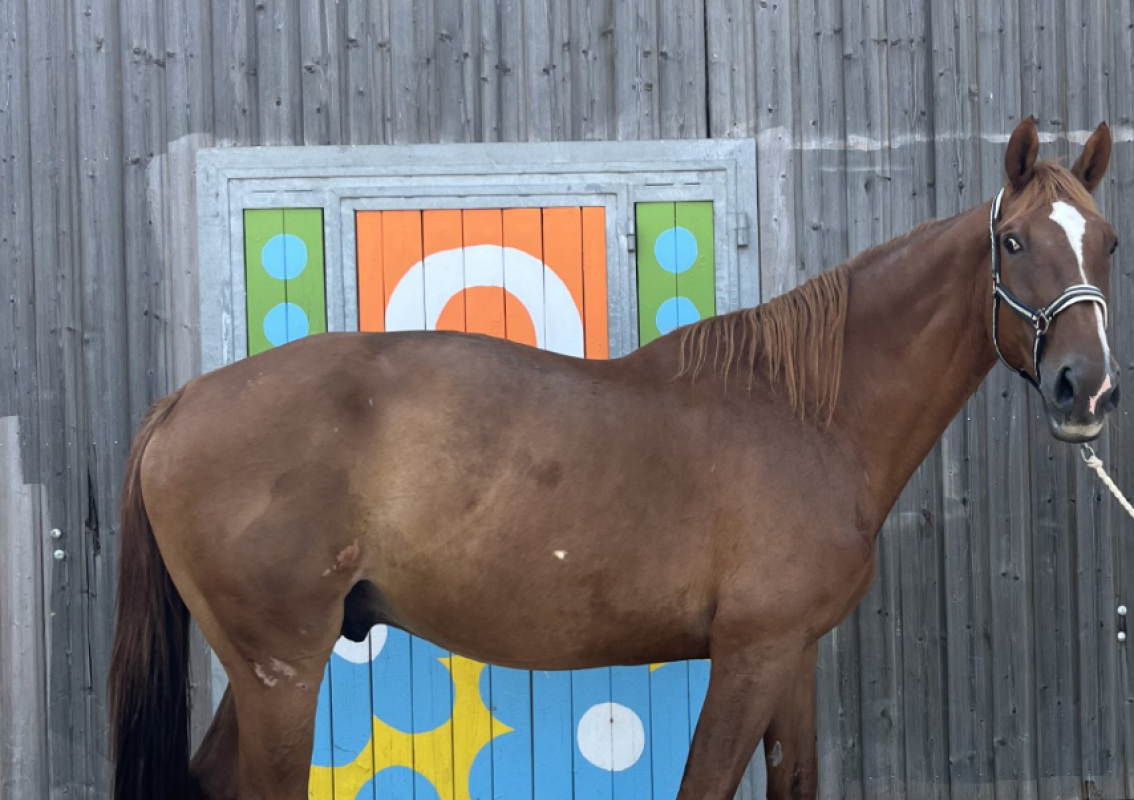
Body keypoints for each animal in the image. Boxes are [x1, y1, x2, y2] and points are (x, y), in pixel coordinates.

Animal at [108, 116, 1120, 800]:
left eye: (1108, 241)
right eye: (1013, 241)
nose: (1088, 388)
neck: (805, 414)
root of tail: (182, 404)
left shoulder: (790, 653)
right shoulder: (749, 654)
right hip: (280, 667)